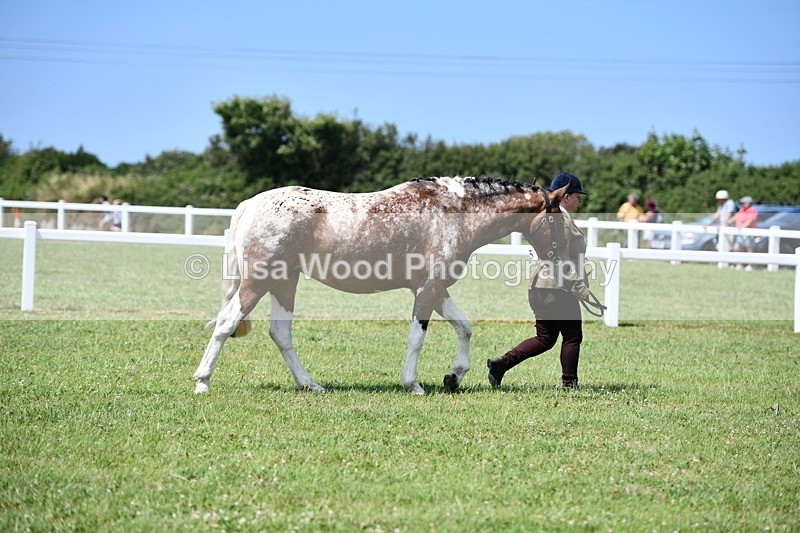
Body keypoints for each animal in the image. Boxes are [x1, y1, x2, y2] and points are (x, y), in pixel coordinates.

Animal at [193, 176, 568, 395]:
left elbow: (464, 327)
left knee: (280, 334)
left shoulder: (434, 288)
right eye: (560, 221)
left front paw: (454, 376)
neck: (453, 212)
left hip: (284, 282)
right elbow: (417, 337)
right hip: (259, 281)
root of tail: (250, 205)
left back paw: (310, 384)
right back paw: (202, 382)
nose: (561, 258)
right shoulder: (428, 290)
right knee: (226, 324)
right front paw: (413, 384)